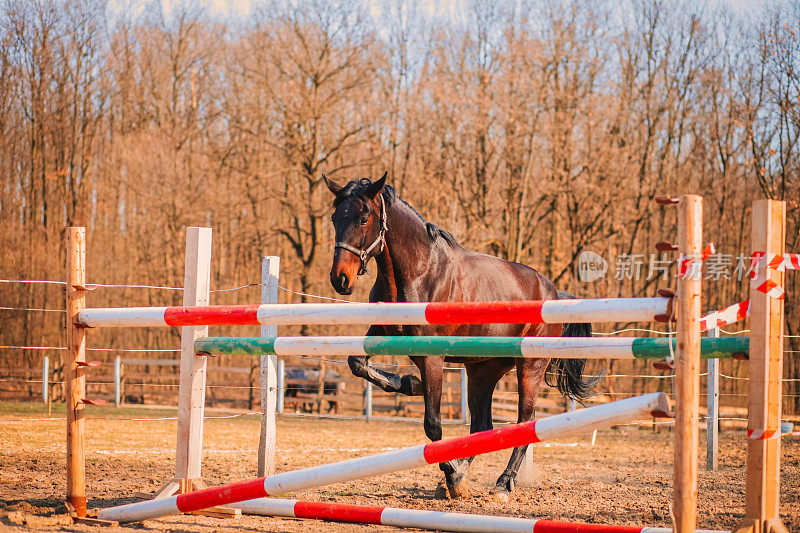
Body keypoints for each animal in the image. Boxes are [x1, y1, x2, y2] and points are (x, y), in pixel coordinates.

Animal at [322, 174, 596, 498]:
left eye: (364, 219)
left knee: (524, 420)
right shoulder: (382, 330)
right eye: (335, 218)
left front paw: (449, 470)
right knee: (481, 425)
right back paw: (461, 475)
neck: (419, 272)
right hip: (483, 369)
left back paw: (500, 483)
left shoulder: (432, 357)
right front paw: (409, 383)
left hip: (530, 366)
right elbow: (357, 363)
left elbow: (433, 424)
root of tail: (553, 292)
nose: (340, 279)